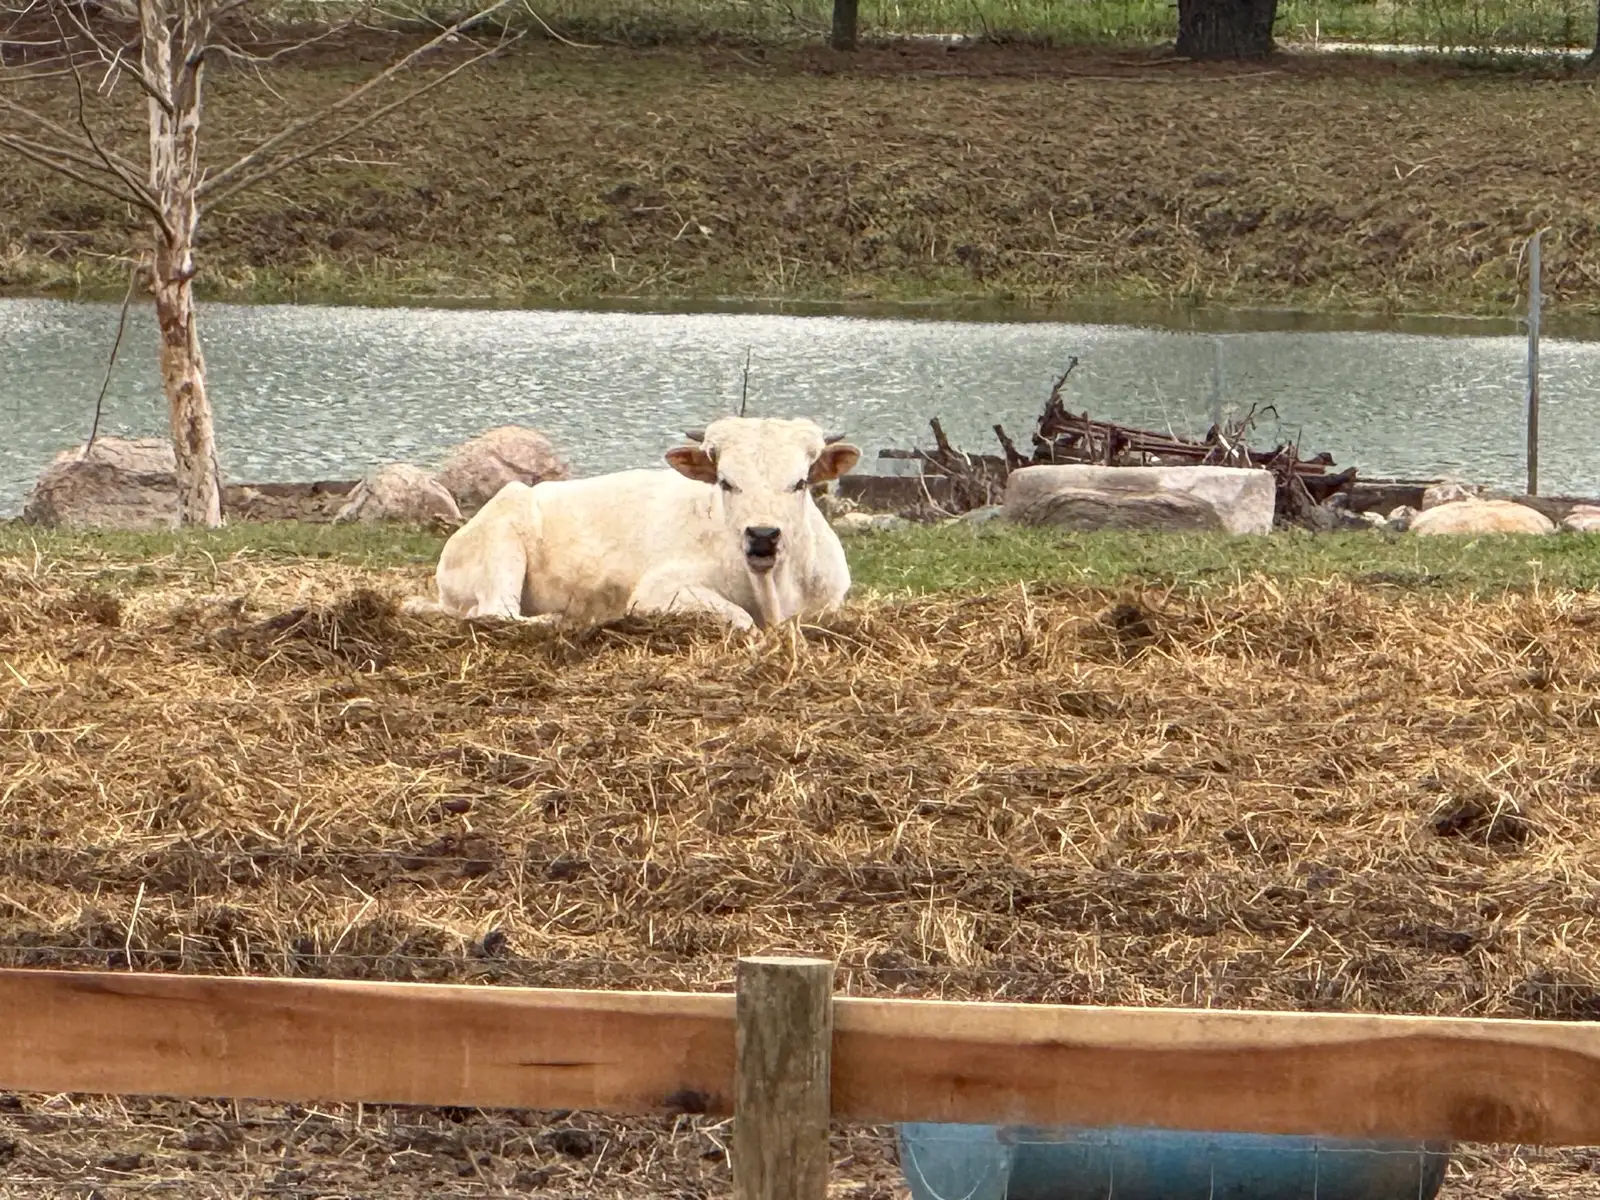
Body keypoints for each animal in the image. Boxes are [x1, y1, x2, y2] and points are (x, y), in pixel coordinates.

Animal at [403, 417, 862, 632]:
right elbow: (740, 619)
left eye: (799, 482)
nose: (763, 536)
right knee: (495, 613)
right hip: (503, 543)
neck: (774, 593)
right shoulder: (657, 591)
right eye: (726, 482)